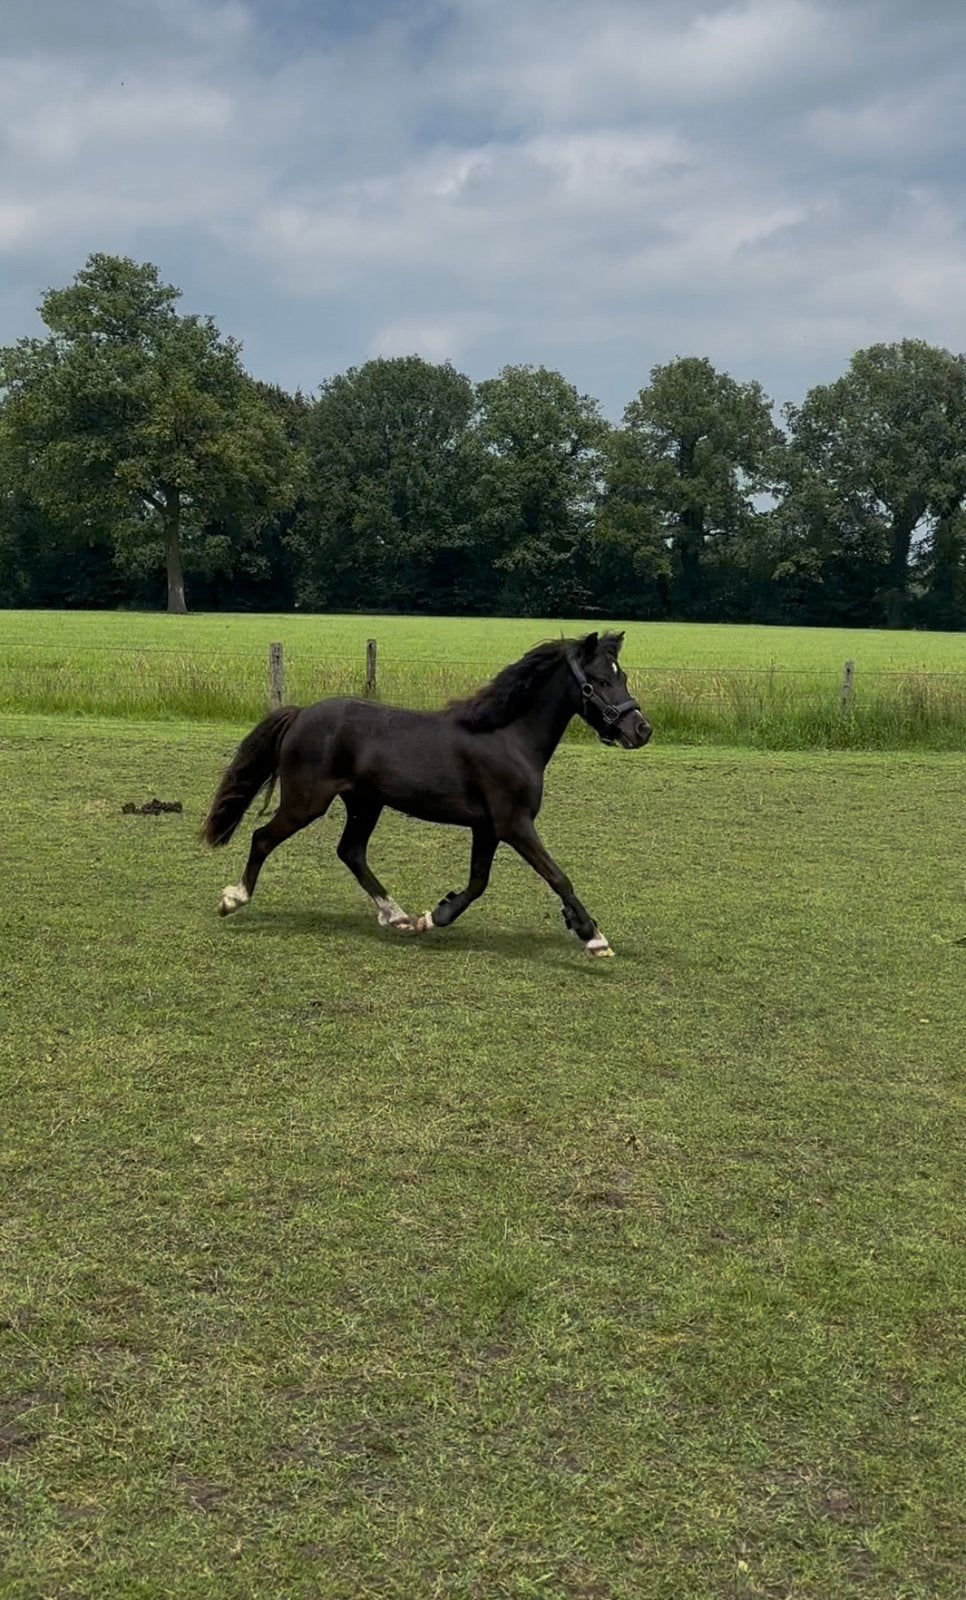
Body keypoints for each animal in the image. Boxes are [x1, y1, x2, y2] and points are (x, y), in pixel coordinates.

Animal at [201, 630, 651, 957]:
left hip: (365, 803)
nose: (641, 730)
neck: (509, 737)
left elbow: (477, 882)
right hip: (307, 802)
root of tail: (299, 715)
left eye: (623, 676)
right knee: (263, 838)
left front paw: (432, 916)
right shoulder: (513, 824)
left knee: (351, 852)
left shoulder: (487, 828)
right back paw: (233, 899)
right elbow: (557, 875)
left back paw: (396, 915)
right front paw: (594, 937)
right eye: (599, 681)